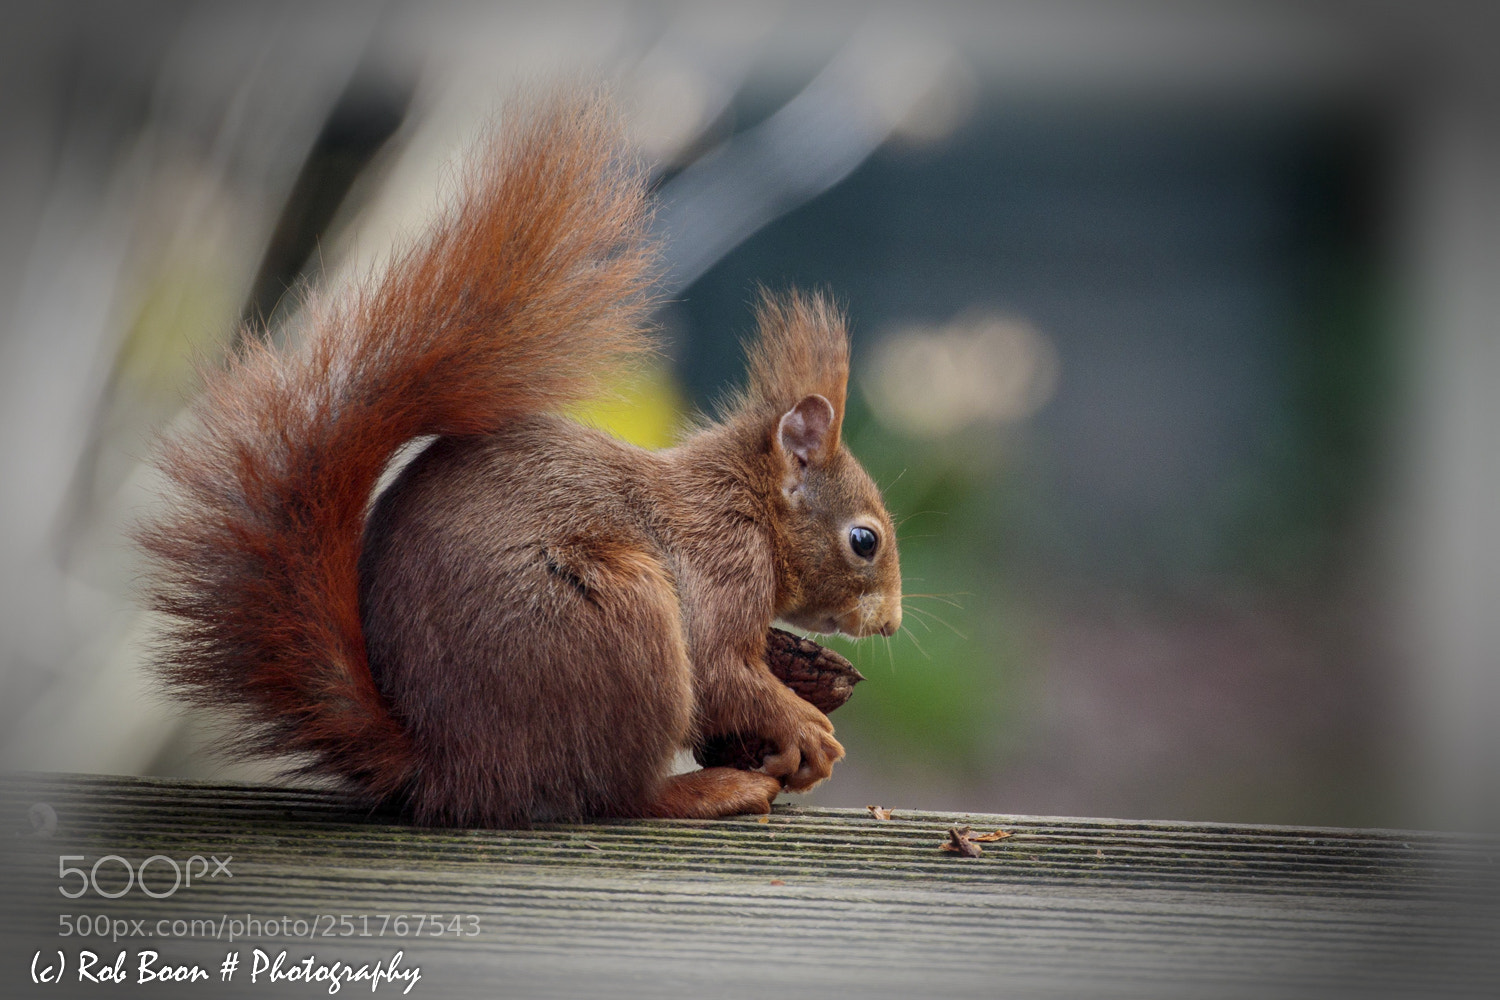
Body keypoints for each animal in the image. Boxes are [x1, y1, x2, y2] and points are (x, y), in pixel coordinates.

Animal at [137, 91, 902, 828]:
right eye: (864, 540)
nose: (891, 624)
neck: (748, 500)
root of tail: (451, 768)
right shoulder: (722, 562)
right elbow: (719, 668)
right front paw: (806, 728)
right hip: (620, 625)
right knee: (614, 794)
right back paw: (710, 791)